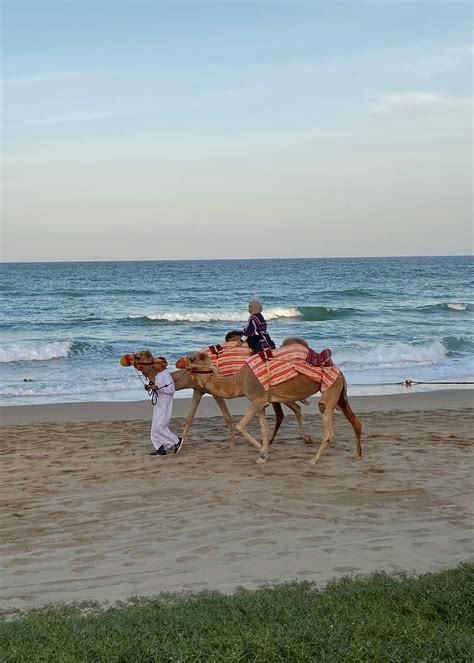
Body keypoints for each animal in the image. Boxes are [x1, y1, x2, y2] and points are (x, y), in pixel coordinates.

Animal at [127, 349, 312, 447]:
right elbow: (189, 418)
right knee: (293, 408)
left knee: (291, 409)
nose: (128, 358)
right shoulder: (198, 390)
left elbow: (227, 417)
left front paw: (234, 444)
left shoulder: (214, 391)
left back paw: (300, 438)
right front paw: (180, 443)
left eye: (139, 356)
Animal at [175, 344, 362, 465]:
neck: (239, 381)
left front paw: (262, 451)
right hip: (339, 395)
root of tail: (340, 372)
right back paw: (357, 456)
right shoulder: (262, 404)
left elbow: (240, 426)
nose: (177, 361)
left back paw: (313, 460)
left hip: (330, 392)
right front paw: (263, 457)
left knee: (328, 429)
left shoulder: (257, 399)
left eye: (191, 358)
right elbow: (263, 429)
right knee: (355, 421)